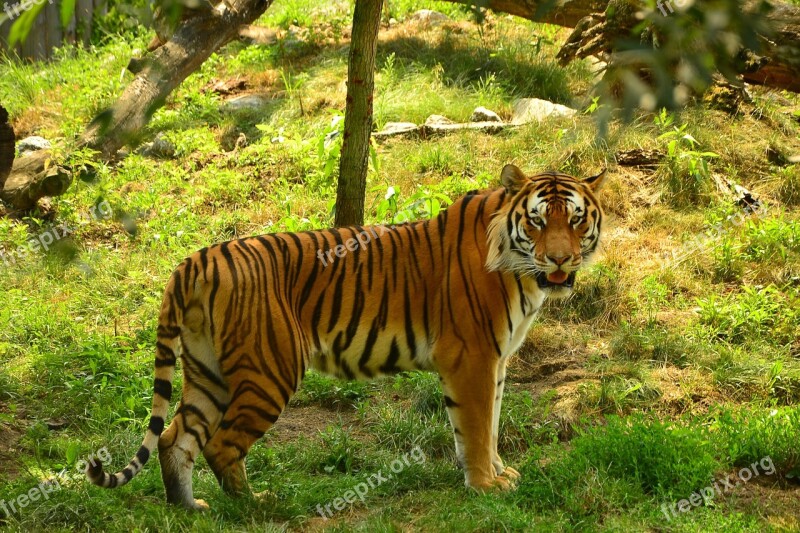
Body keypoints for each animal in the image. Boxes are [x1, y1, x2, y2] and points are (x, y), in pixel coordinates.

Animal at [86, 164, 608, 510]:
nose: (560, 259)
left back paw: (189, 508)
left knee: (174, 438)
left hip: (207, 371)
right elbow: (477, 428)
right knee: (220, 445)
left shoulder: (497, 360)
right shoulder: (473, 357)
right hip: (269, 372)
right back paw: (256, 505)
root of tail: (194, 260)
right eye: (537, 220)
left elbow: (494, 424)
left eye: (576, 219)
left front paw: (501, 473)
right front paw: (484, 485)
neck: (522, 273)